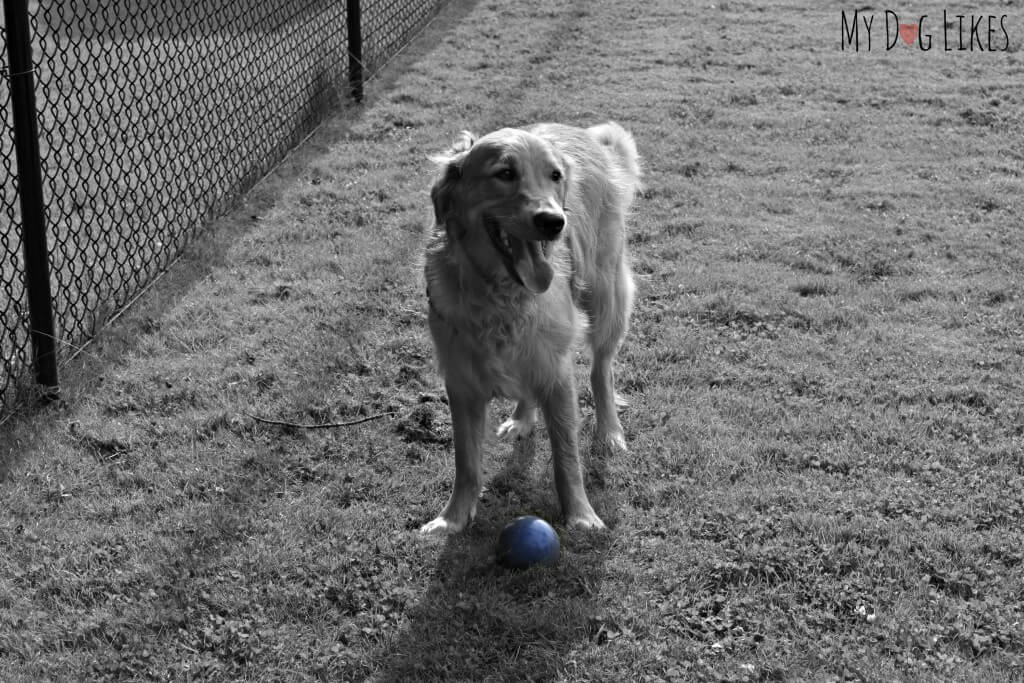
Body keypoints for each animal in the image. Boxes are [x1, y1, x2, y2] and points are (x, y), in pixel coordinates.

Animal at [415, 124, 638, 540]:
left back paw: (610, 431)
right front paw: (453, 518)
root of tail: (584, 132)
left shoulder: (558, 373)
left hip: (605, 296)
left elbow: (566, 457)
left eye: (555, 176)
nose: (553, 221)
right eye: (505, 173)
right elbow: (466, 462)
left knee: (601, 370)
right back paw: (522, 418)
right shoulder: (461, 382)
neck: (501, 295)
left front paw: (581, 515)